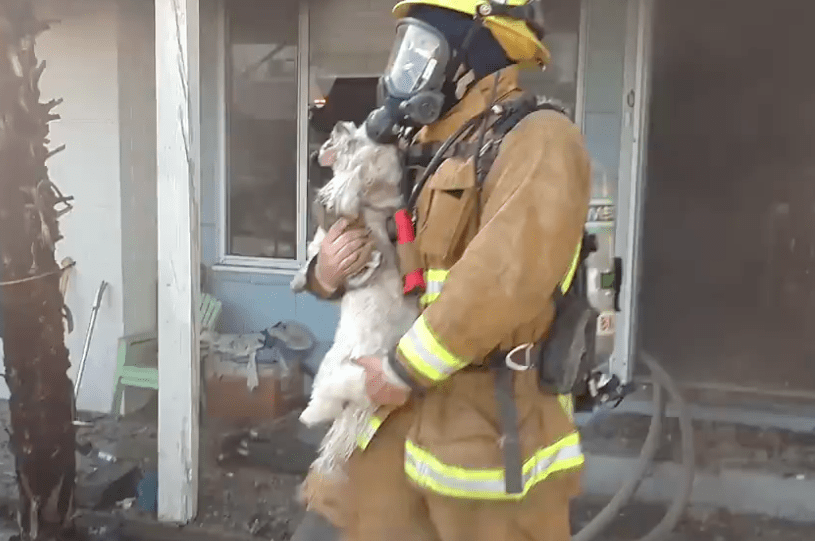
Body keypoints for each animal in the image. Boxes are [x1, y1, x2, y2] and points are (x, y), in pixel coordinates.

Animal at [292, 120, 420, 474]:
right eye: (355, 127)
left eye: (354, 137)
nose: (339, 123)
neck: (371, 209)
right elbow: (317, 248)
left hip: (348, 376)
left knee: (323, 404)